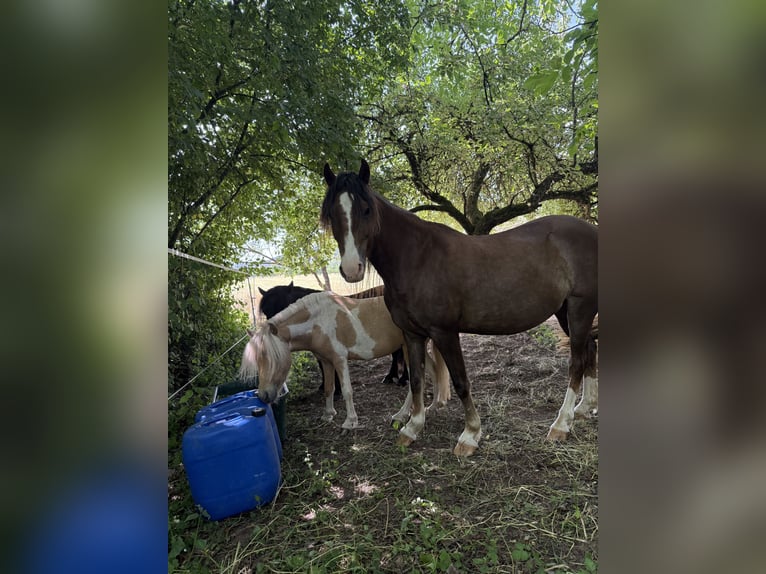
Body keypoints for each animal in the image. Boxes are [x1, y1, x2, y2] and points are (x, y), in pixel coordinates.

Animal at [320, 159, 598, 456]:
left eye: (366, 209)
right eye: (332, 213)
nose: (352, 269)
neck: (417, 258)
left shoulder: (444, 332)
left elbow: (460, 380)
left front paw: (470, 435)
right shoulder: (412, 334)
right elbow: (417, 380)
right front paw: (412, 428)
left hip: (580, 309)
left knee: (577, 362)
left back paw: (561, 424)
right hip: (565, 311)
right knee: (590, 352)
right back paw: (583, 409)